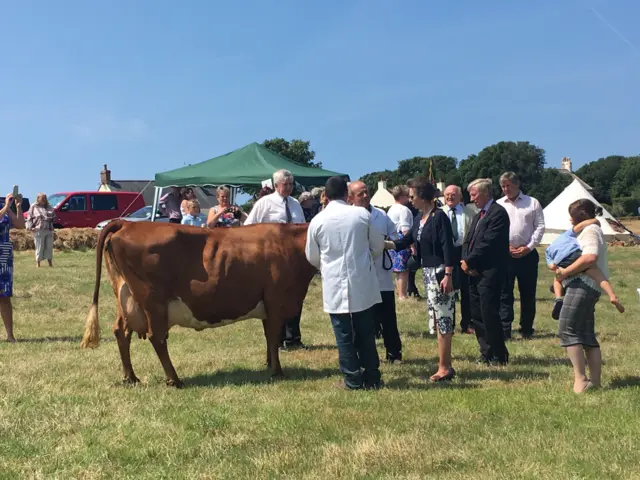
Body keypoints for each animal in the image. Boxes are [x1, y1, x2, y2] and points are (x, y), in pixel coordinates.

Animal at [81, 219, 316, 388]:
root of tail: (128, 222)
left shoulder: (269, 304)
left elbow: (268, 337)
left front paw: (268, 365)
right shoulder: (276, 300)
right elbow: (273, 336)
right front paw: (277, 372)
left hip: (126, 297)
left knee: (121, 331)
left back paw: (131, 377)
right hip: (153, 301)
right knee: (157, 337)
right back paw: (174, 380)